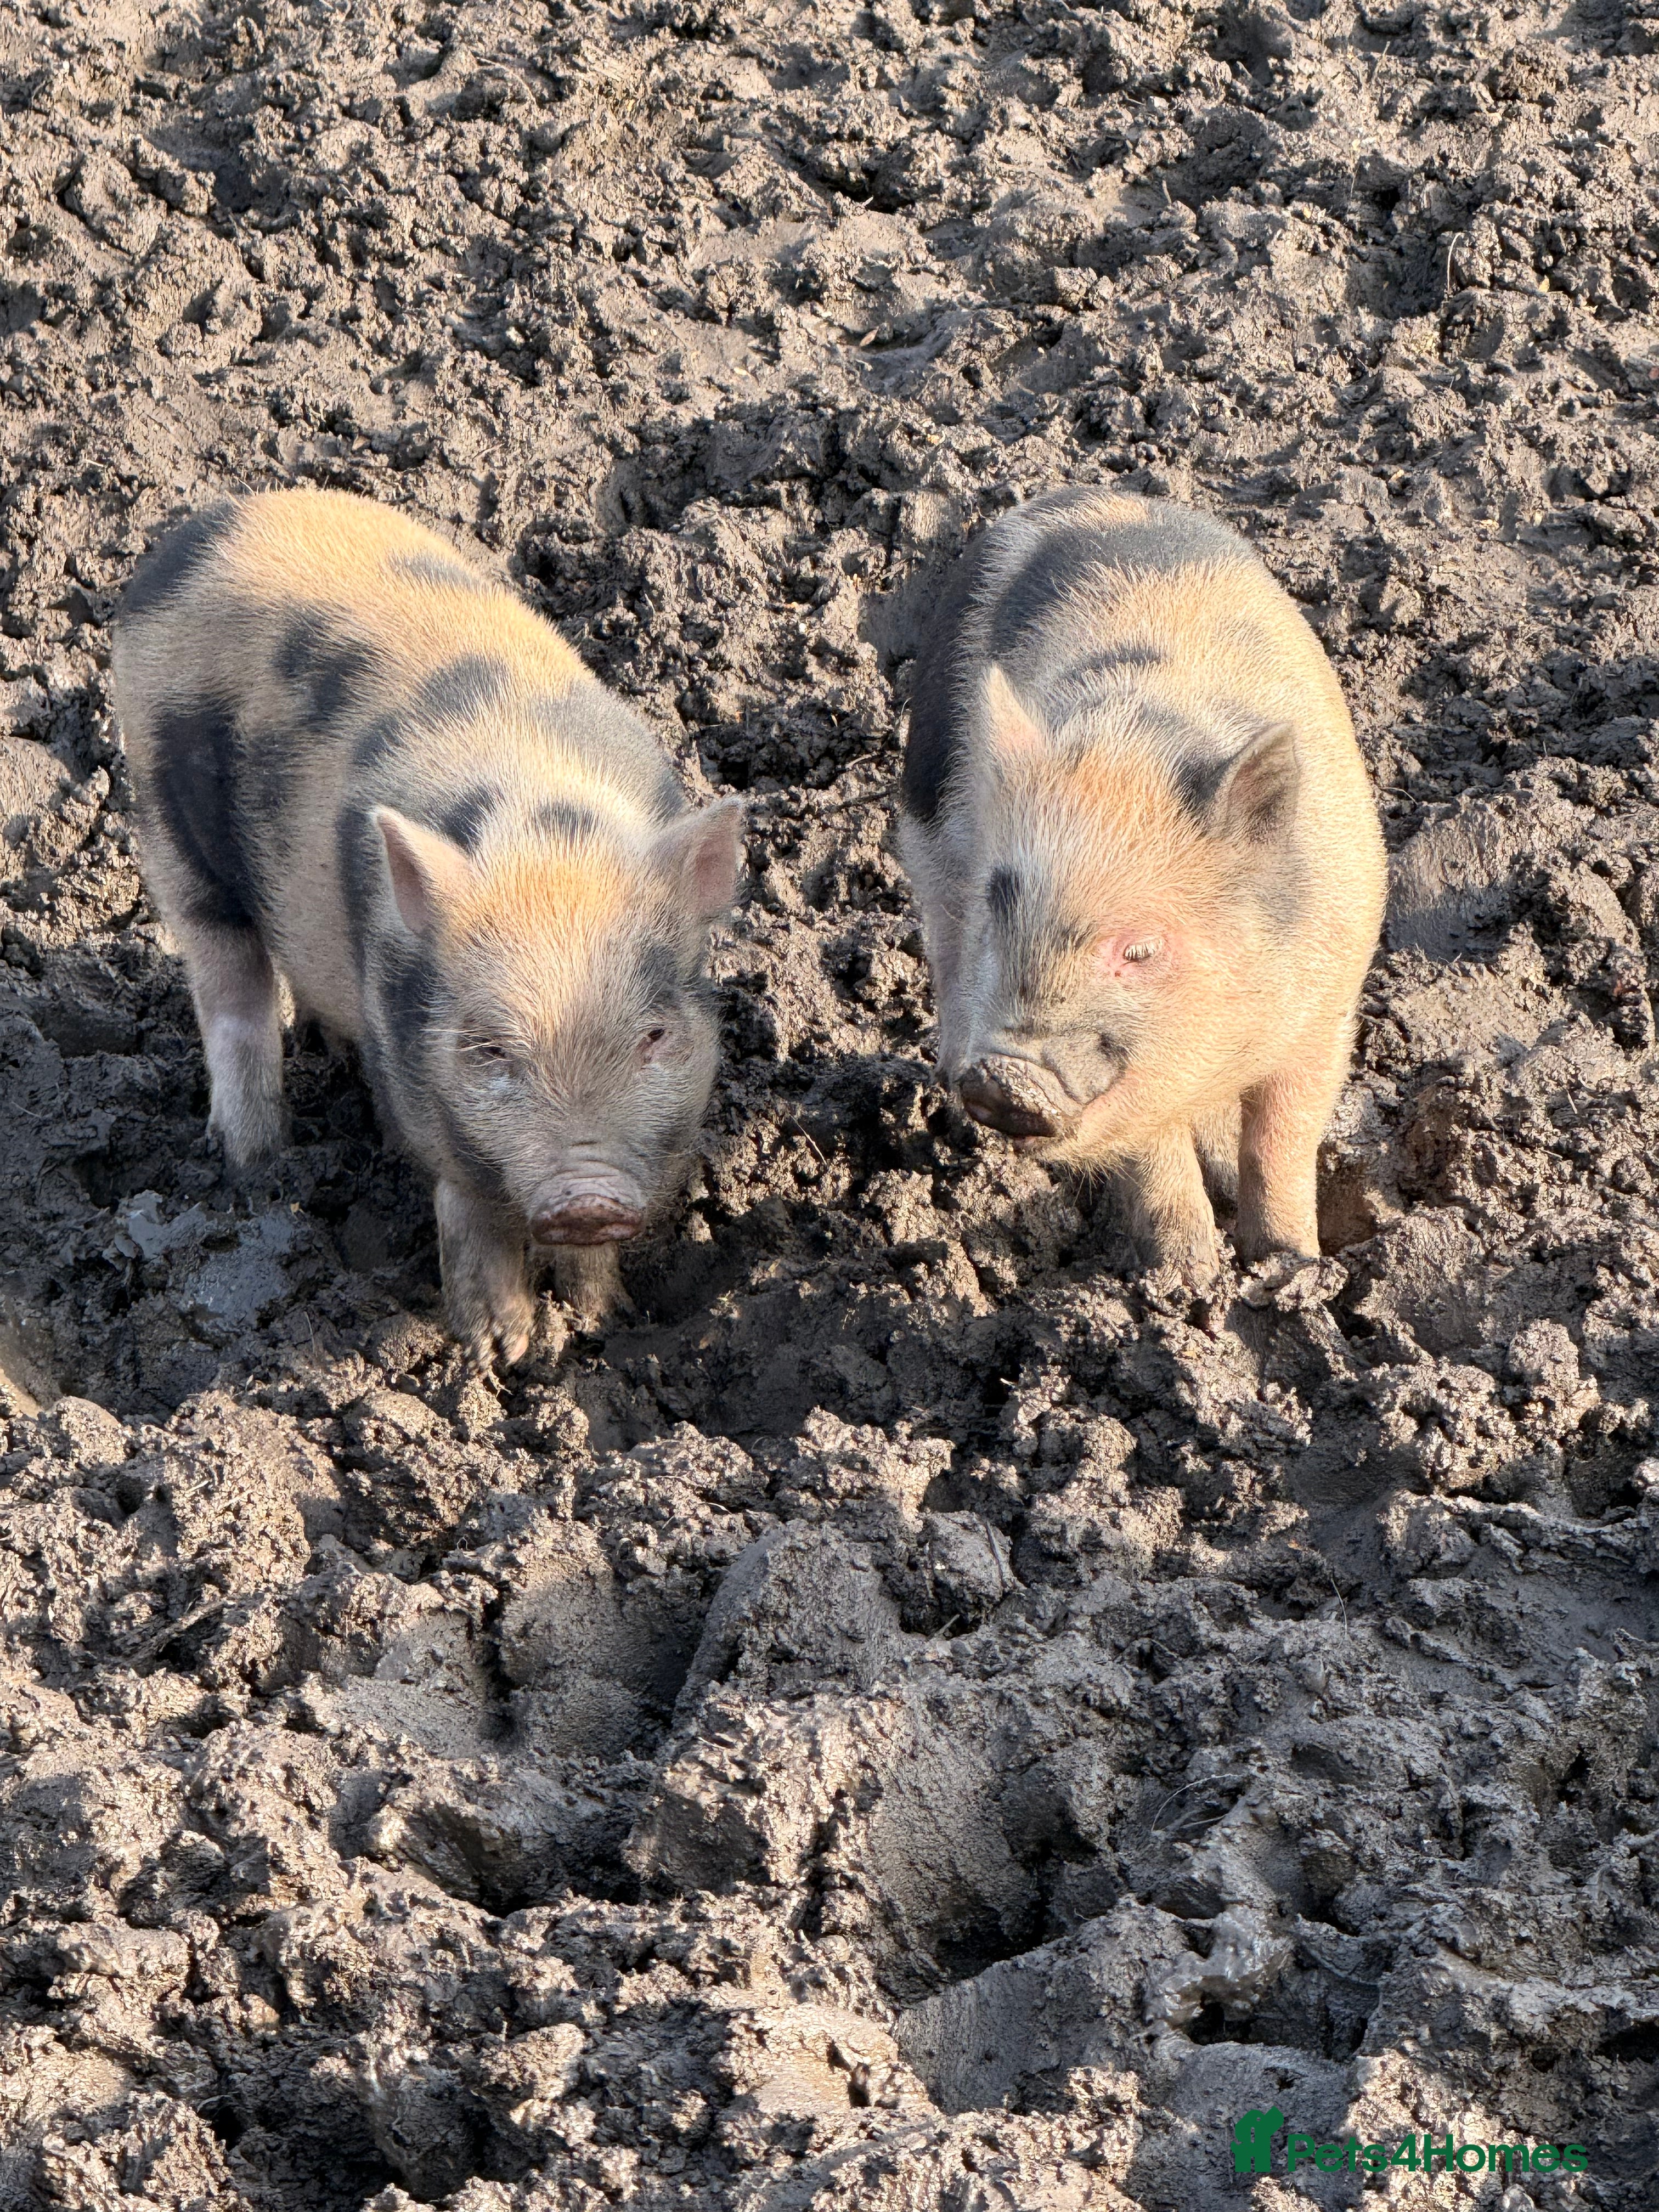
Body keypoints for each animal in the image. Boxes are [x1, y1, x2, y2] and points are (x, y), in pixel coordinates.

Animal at [112, 487, 743, 1362]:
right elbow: (466, 1206)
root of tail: (206, 528)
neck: (547, 835)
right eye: (488, 1049)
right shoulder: (423, 1086)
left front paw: (602, 1322)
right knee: (230, 995)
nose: (586, 1198)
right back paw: (256, 1169)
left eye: (654, 1035)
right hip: (166, 821)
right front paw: (501, 1353)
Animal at [898, 487, 1386, 1279]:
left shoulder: (1327, 1008)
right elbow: (1151, 1151)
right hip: (926, 829)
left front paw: (1291, 1267)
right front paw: (1186, 1279)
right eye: (1000, 910)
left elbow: (1283, 1139)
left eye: (1142, 950)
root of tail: (1087, 495)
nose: (1005, 1080)